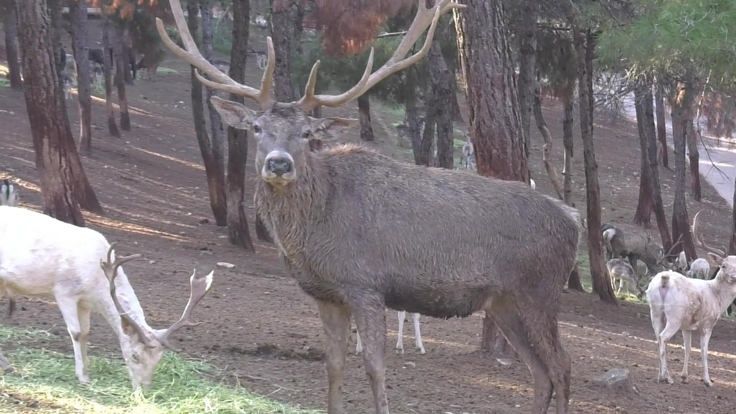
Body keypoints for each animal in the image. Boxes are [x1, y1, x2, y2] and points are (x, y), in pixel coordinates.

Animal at [0, 207, 213, 388]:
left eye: (158, 360)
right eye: (134, 356)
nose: (145, 389)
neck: (96, 283)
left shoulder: (84, 302)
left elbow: (86, 333)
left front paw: (87, 370)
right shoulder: (64, 292)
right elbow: (75, 332)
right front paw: (82, 376)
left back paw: (7, 365)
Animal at [160, 1, 580, 412]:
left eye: (307, 133)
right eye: (257, 128)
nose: (279, 164)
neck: (315, 231)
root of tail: (573, 220)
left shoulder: (365, 284)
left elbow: (375, 368)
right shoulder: (326, 294)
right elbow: (333, 366)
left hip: (539, 289)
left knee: (561, 366)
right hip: (503, 301)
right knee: (540, 373)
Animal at [644, 254, 736, 386]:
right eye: (723, 265)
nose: (733, 277)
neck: (718, 298)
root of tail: (664, 280)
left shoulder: (686, 326)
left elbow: (688, 348)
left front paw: (684, 377)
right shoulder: (708, 324)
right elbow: (704, 351)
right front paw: (708, 381)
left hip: (655, 311)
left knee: (658, 339)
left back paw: (660, 376)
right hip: (675, 316)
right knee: (663, 337)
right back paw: (666, 377)